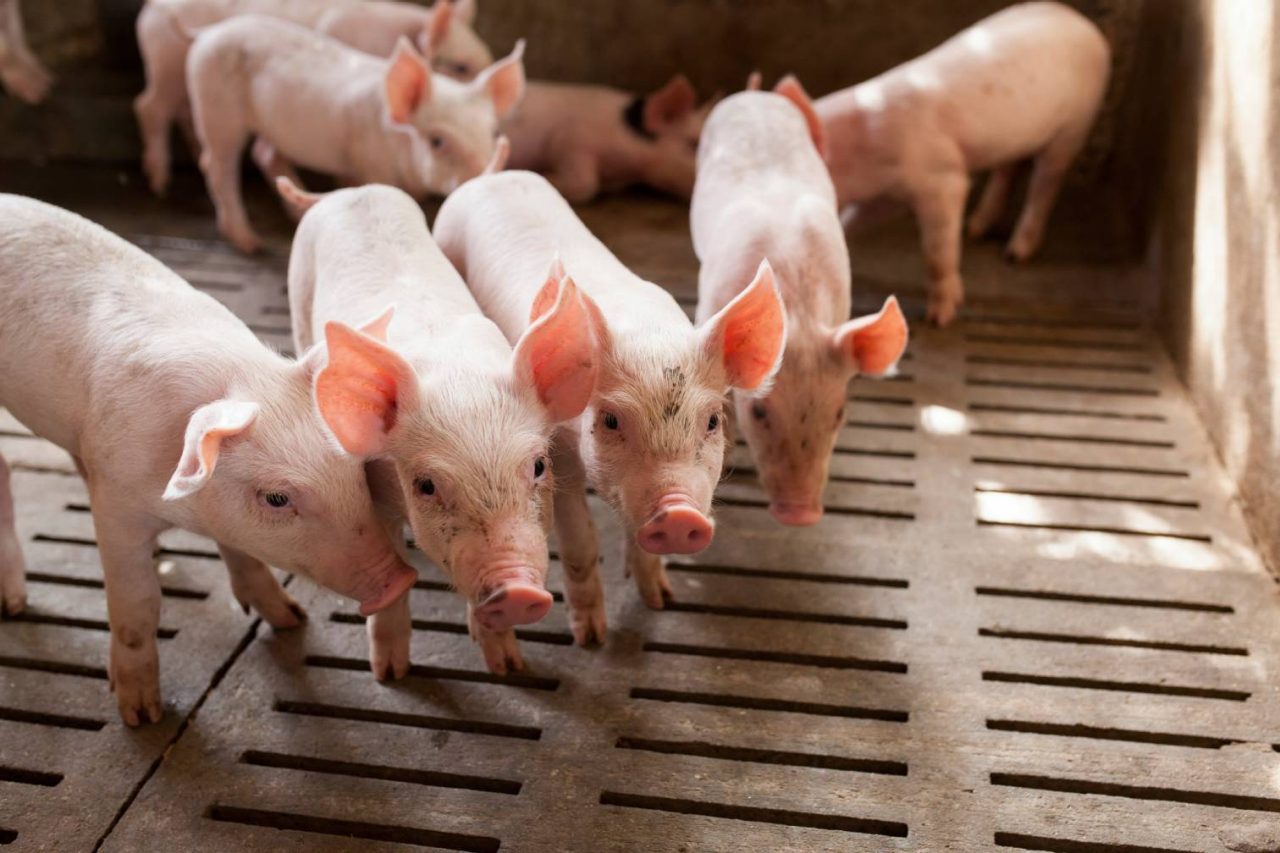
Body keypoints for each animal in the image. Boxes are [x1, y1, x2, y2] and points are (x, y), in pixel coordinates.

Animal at [0, 195, 417, 725]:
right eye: (276, 498)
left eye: (354, 472)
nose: (400, 577)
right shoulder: (116, 505)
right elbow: (137, 603)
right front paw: (142, 715)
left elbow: (241, 552)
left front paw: (291, 621)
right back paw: (13, 605)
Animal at [186, 15, 524, 252]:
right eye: (437, 141)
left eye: (493, 132)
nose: (485, 171)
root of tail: (208, 32)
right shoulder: (368, 159)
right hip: (215, 109)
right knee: (216, 165)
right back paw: (250, 243)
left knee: (263, 154)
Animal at [281, 173, 600, 677]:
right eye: (426, 486)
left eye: (538, 466)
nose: (517, 590)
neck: (458, 377)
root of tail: (348, 191)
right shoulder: (374, 491)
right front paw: (389, 674)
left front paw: (508, 668)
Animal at [435, 170, 786, 641]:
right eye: (611, 419)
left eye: (713, 420)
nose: (679, 514)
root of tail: (492, 176)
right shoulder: (557, 454)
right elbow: (581, 541)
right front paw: (592, 638)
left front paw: (661, 600)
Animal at [815, 1, 1110, 326]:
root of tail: (1081, 22)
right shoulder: (887, 194)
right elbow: (851, 220)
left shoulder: (940, 178)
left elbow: (937, 252)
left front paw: (939, 318)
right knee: (1008, 170)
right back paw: (975, 229)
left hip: (1075, 126)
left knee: (1045, 183)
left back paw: (1014, 254)